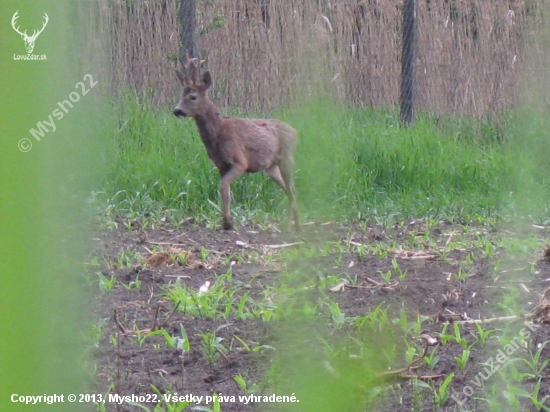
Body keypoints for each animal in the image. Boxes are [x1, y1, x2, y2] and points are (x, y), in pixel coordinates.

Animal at [174, 57, 300, 232]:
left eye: (193, 96)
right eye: (181, 95)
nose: (177, 110)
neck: (219, 132)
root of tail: (295, 132)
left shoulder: (240, 161)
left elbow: (223, 186)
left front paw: (228, 222)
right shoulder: (221, 164)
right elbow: (225, 191)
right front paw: (226, 222)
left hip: (287, 158)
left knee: (292, 189)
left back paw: (292, 226)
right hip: (271, 167)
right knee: (288, 190)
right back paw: (295, 225)